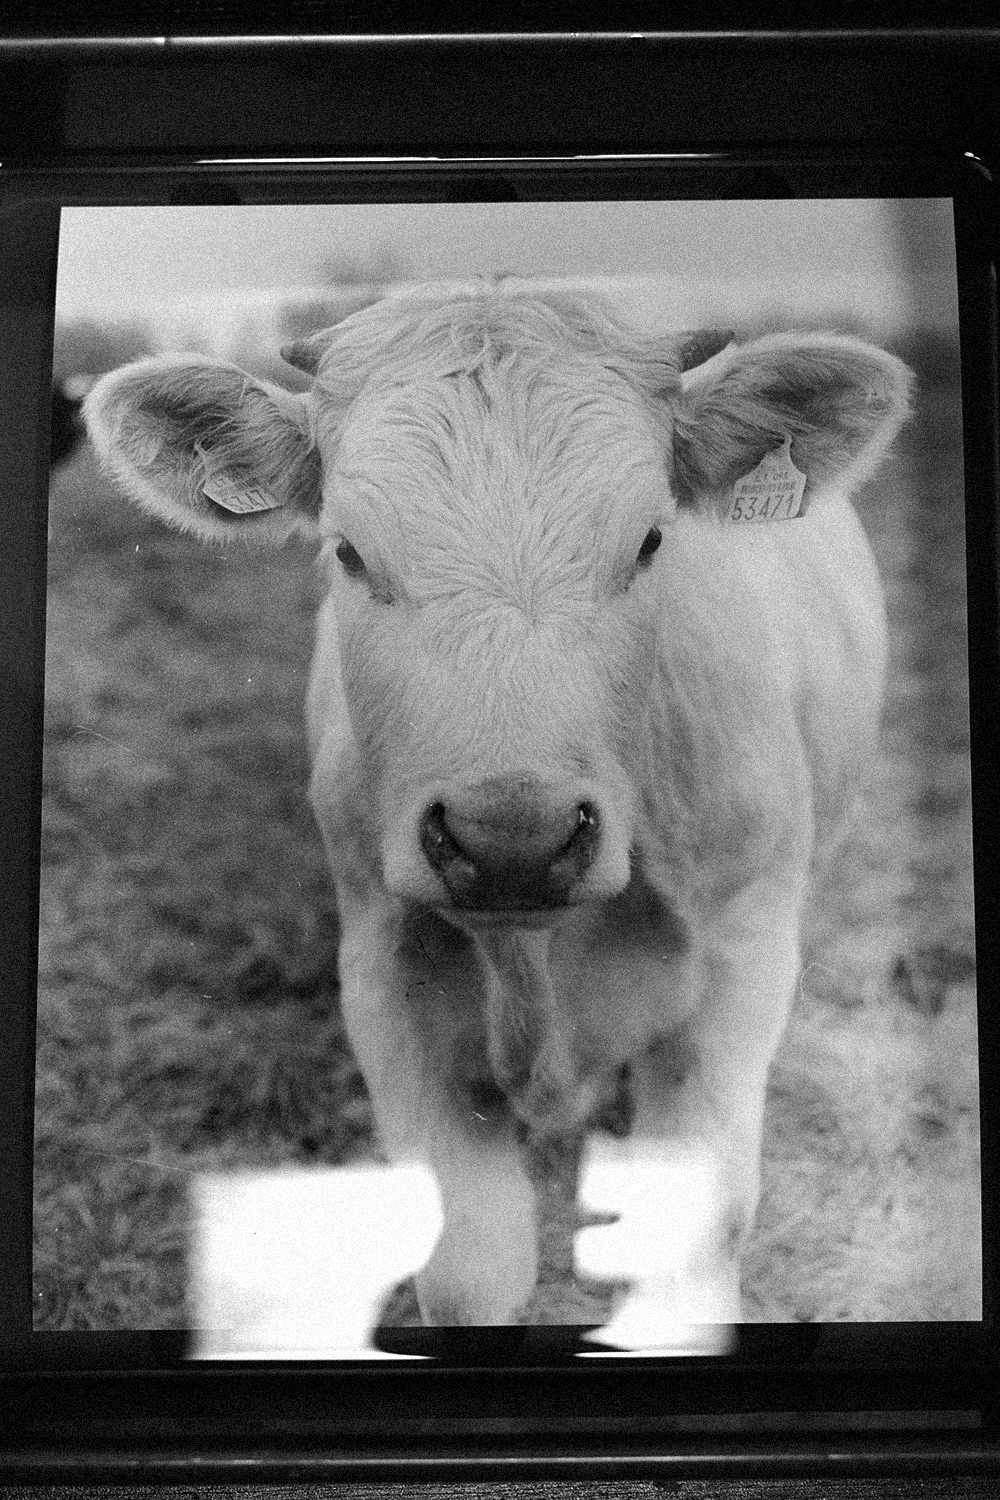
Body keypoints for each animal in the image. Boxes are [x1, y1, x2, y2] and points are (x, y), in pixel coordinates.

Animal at [84, 286, 912, 1328]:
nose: (513, 839)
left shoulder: (739, 965)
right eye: (348, 551)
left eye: (651, 541)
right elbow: (468, 1264)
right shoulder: (387, 977)